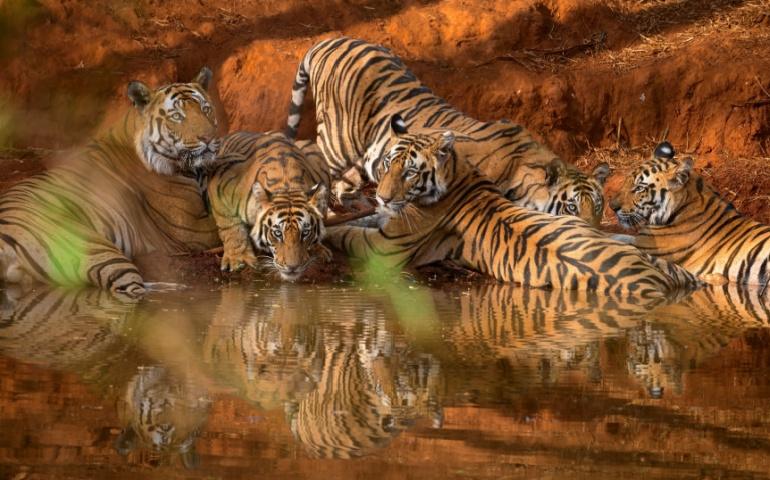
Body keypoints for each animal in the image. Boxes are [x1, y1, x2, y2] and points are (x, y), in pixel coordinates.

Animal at [207, 131, 331, 280]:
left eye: (305, 233)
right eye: (277, 233)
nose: (293, 268)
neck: (287, 183)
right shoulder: (220, 183)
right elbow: (230, 227)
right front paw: (238, 260)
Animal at [286, 36, 609, 227]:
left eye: (598, 207)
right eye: (571, 207)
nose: (593, 231)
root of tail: (330, 41)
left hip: (360, 155)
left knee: (347, 184)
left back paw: (363, 204)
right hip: (338, 141)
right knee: (317, 165)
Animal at [324, 119, 701, 298]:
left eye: (411, 172)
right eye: (389, 164)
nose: (383, 196)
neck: (458, 173)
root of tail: (652, 280)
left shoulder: (384, 246)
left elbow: (345, 232)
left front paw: (324, 233)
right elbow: (361, 219)